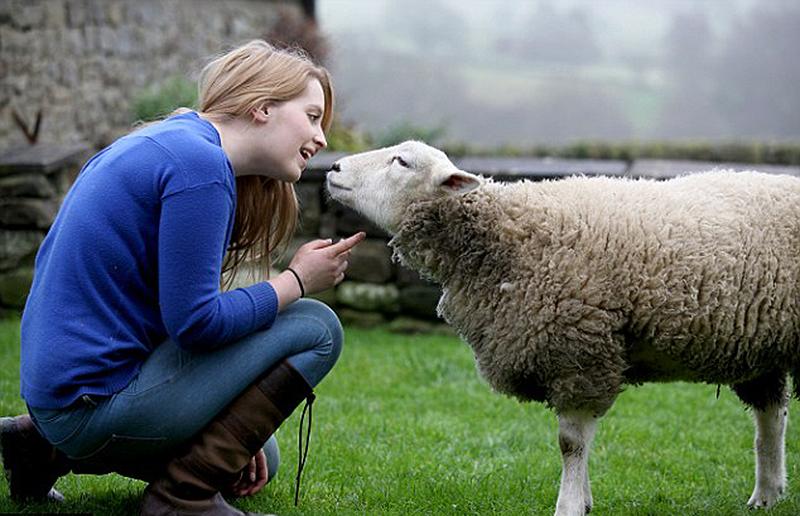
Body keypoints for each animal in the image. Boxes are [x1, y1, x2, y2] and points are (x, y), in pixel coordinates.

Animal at [326, 140, 800, 516]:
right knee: (771, 417)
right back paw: (767, 494)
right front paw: (585, 499)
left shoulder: (579, 352)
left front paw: (569, 505)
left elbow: (570, 443)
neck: (504, 239)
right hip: (759, 345)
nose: (333, 169)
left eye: (402, 162)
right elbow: (581, 443)